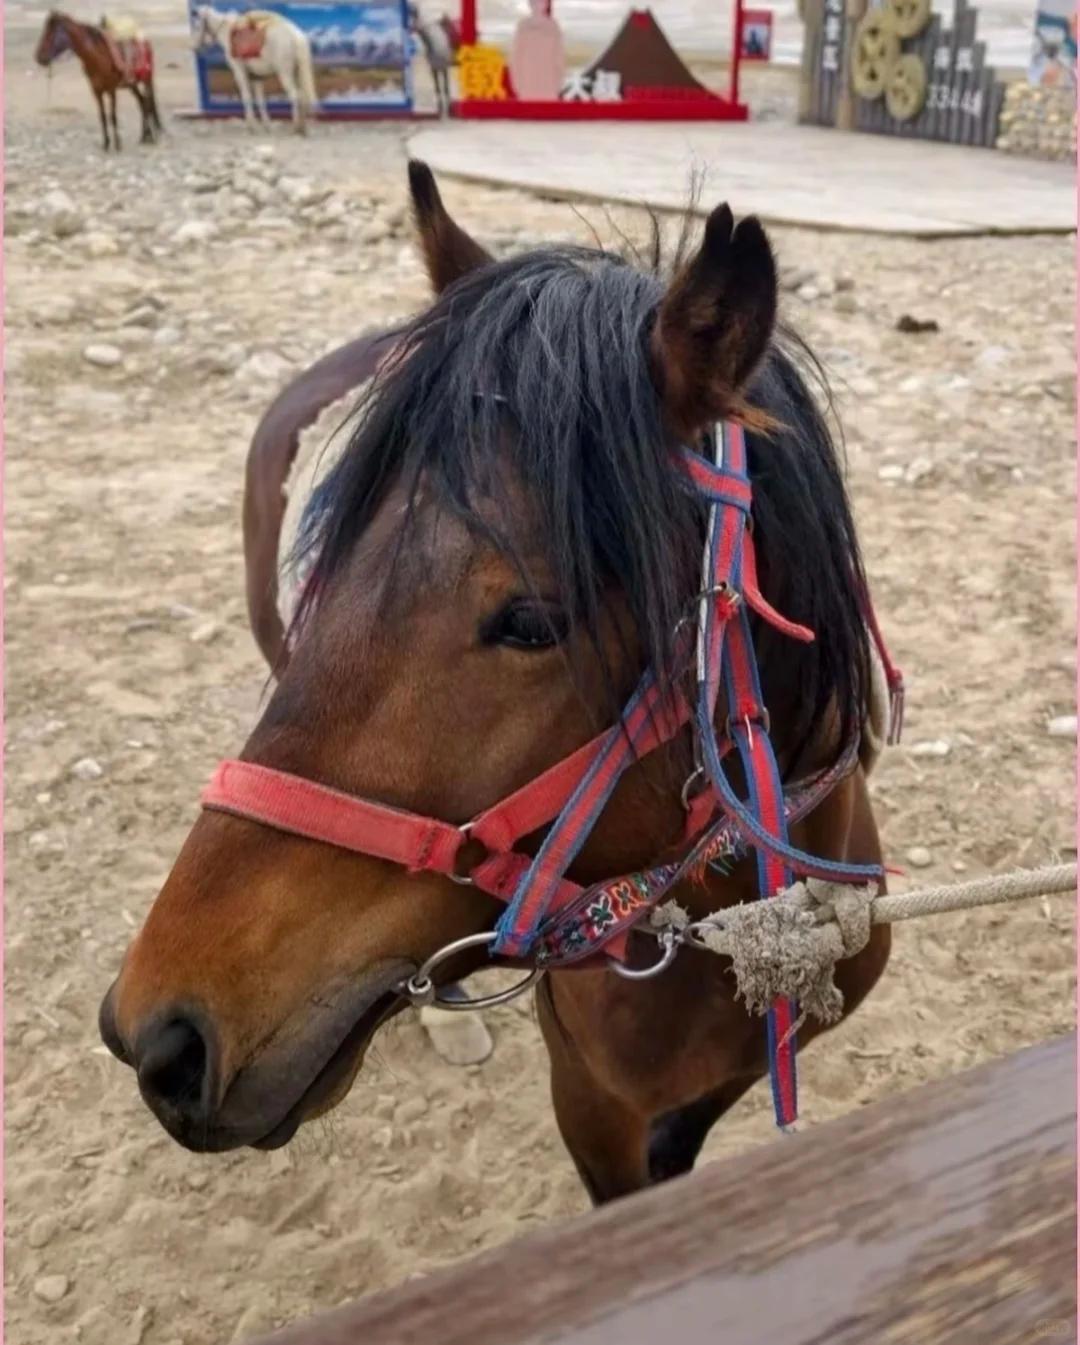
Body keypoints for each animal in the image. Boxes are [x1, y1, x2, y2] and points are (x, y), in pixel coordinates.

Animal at [35, 10, 162, 151]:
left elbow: (112, 116)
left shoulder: (111, 90)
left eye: (51, 34)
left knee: (148, 102)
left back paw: (151, 137)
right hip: (132, 84)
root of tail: (145, 41)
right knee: (142, 102)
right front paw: (106, 143)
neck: (97, 56)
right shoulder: (96, 91)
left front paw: (117, 144)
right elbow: (102, 116)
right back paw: (144, 136)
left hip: (146, 80)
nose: (38, 57)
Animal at [192, 5, 318, 135]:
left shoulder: (239, 72)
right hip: (296, 73)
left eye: (197, 25)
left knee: (295, 96)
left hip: (284, 74)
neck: (228, 33)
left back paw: (296, 126)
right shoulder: (257, 77)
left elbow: (246, 97)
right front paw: (267, 125)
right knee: (303, 96)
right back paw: (302, 127)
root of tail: (296, 36)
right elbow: (260, 100)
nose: (195, 48)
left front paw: (251, 126)